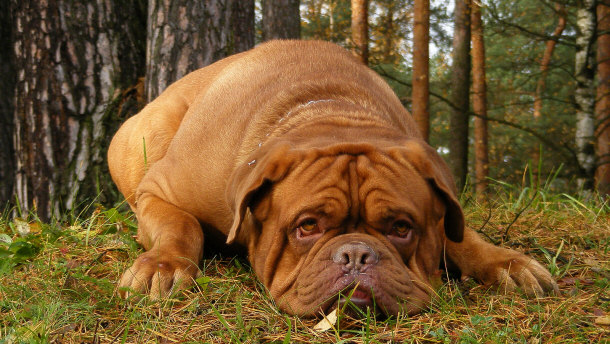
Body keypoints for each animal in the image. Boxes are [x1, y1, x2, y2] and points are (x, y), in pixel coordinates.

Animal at [108, 39, 556, 316]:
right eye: (307, 226)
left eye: (401, 228)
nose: (356, 255)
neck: (335, 115)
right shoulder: (160, 191)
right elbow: (180, 225)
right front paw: (163, 266)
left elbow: (460, 236)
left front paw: (506, 262)